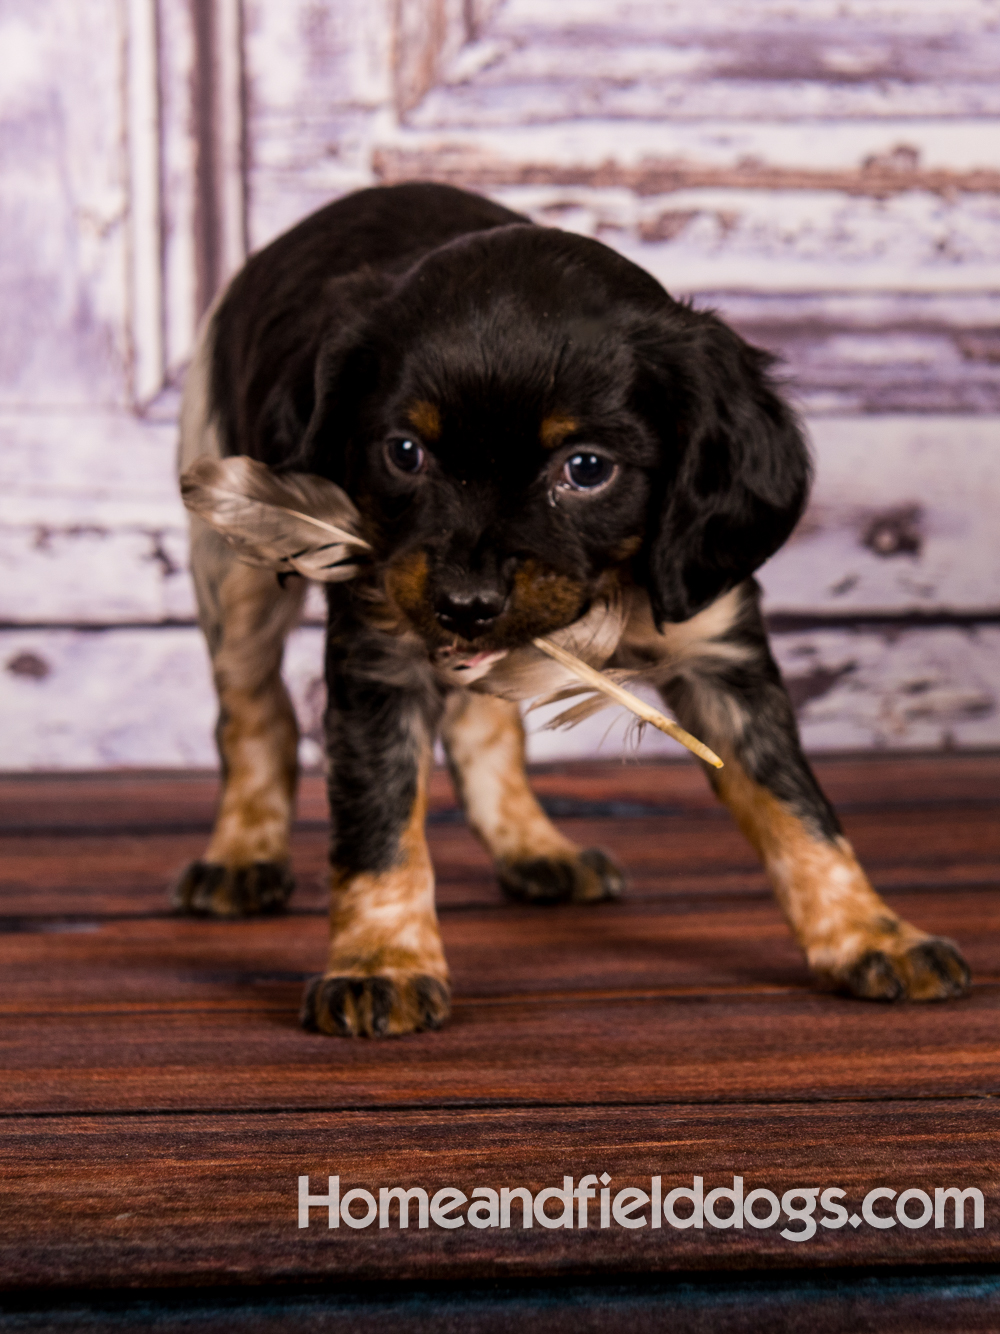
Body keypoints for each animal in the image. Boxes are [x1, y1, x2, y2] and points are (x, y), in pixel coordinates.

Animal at [176, 180, 976, 1029]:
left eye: (586, 469)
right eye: (404, 453)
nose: (464, 603)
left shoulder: (722, 656)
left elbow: (799, 809)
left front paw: (871, 933)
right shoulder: (381, 657)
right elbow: (378, 823)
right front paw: (380, 960)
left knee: (481, 727)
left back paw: (535, 846)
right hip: (235, 566)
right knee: (253, 711)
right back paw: (242, 854)